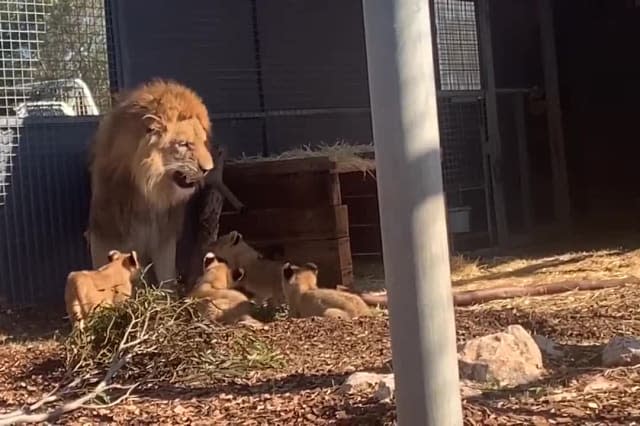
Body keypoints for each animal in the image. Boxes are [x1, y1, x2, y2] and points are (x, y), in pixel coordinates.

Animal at [87, 80, 215, 284]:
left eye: (203, 143)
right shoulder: (107, 226)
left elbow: (166, 274)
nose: (208, 169)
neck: (149, 192)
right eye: (184, 144)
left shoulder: (164, 234)